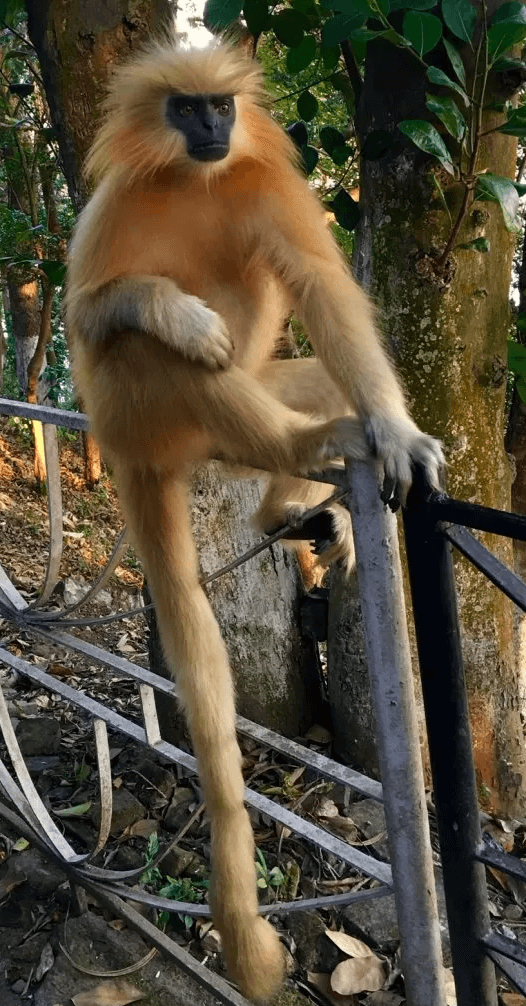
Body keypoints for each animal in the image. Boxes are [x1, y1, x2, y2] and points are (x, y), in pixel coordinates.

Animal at [65, 33, 444, 1006]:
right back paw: (288, 432)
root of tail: (145, 459)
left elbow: (320, 285)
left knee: (310, 378)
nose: (211, 128)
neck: (193, 180)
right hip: (137, 414)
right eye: (186, 107)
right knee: (149, 348)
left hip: (245, 405)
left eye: (222, 108)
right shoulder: (110, 211)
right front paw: (174, 307)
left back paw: (303, 481)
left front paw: (396, 429)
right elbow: (93, 312)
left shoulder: (264, 184)